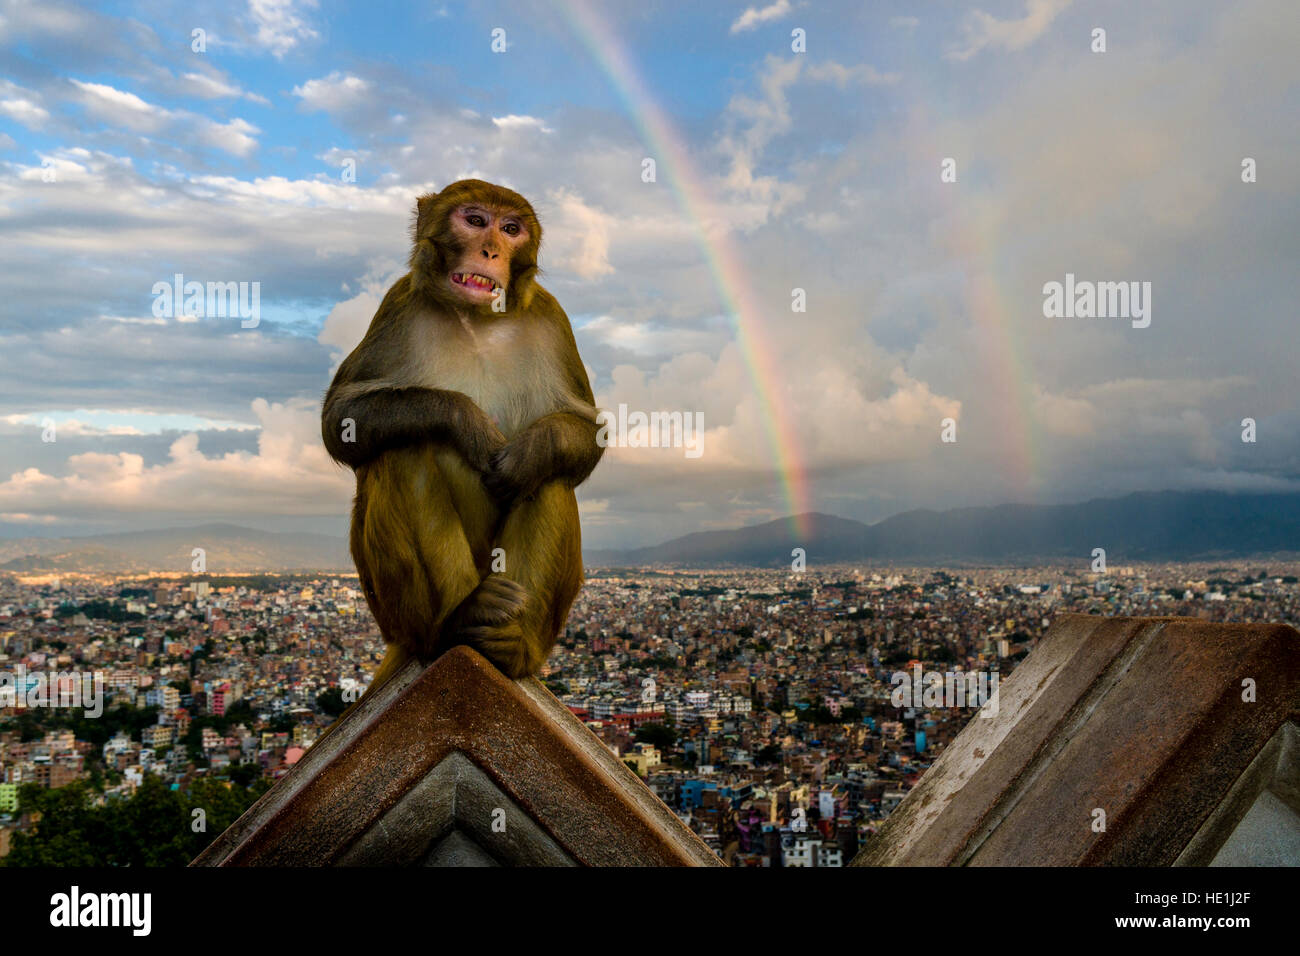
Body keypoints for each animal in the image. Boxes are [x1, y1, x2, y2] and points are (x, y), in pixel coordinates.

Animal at [325, 180, 608, 702]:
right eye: (475, 221)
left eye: (511, 229)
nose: (491, 249)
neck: (476, 319)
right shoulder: (398, 305)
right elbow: (341, 418)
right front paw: (465, 422)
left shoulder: (552, 318)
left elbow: (584, 431)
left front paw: (528, 455)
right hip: (396, 615)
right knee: (403, 450)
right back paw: (459, 620)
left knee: (550, 477)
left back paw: (512, 645)